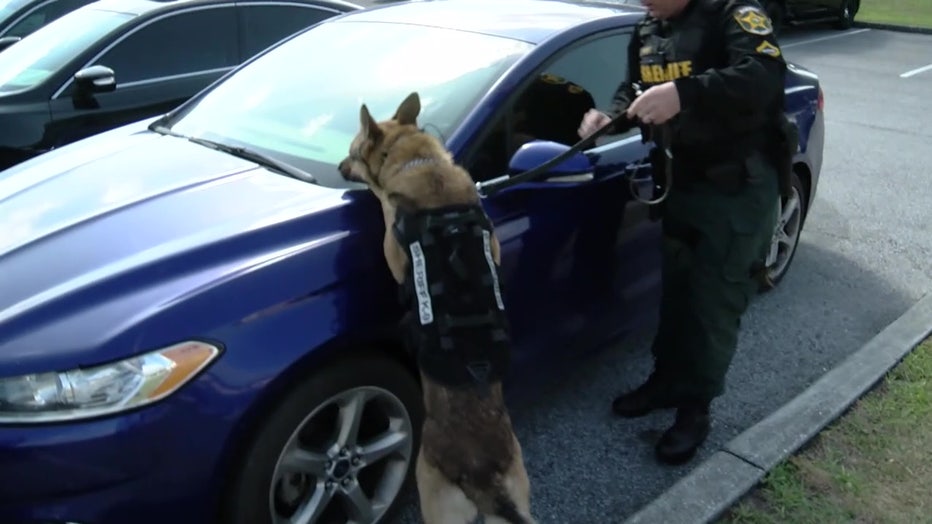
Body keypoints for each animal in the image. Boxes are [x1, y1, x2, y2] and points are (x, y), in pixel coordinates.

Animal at [338, 92, 536, 524]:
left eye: (352, 151)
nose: (338, 167)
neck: (420, 161)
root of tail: (481, 471)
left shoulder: (394, 253)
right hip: (518, 487)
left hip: (434, 497)